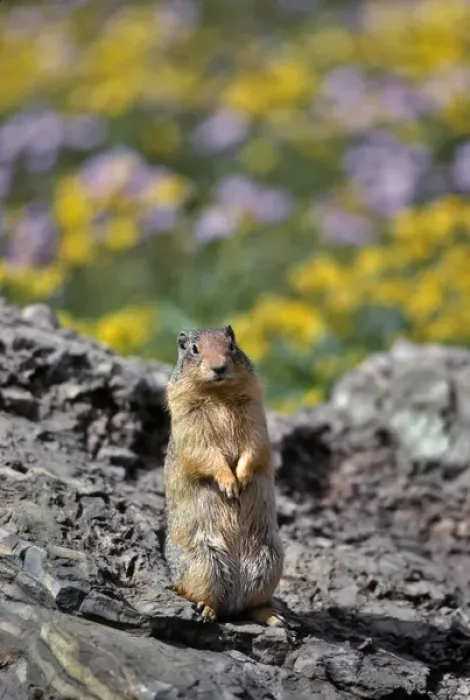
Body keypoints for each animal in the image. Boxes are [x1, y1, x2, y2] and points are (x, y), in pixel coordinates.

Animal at [163, 324, 284, 625]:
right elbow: (205, 451)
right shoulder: (189, 420)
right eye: (194, 349)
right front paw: (230, 484)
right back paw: (207, 610)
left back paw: (273, 616)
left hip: (270, 562)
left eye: (231, 345)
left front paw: (242, 478)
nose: (219, 367)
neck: (219, 395)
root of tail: (233, 603)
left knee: (252, 605)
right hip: (204, 562)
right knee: (198, 593)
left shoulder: (255, 414)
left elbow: (254, 446)